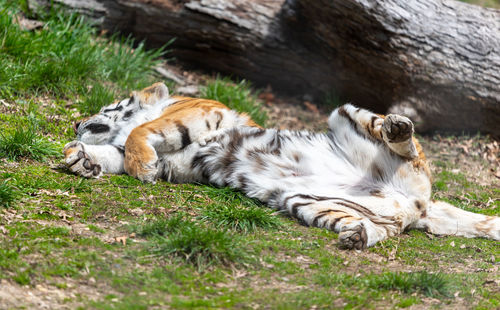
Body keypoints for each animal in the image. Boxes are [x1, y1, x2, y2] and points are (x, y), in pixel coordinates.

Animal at [63, 81, 500, 249]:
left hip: (344, 113)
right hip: (310, 202)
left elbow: (139, 134)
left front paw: (140, 166)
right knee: (382, 230)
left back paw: (396, 126)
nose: (75, 122)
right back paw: (357, 237)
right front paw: (79, 158)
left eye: (107, 105)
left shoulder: (192, 113)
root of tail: (419, 205)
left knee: (406, 145)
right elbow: (117, 151)